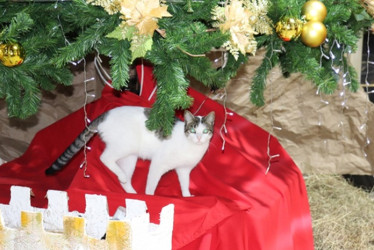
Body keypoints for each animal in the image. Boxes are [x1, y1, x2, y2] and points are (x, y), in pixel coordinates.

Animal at [46, 106, 216, 197]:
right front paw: (150, 197)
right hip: (124, 146)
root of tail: (104, 115)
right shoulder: (158, 163)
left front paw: (187, 196)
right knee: (105, 157)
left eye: (205, 131)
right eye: (193, 130)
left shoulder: (184, 170)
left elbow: (185, 184)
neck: (191, 147)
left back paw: (130, 190)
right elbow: (151, 185)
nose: (199, 138)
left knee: (124, 178)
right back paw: (123, 178)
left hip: (130, 158)